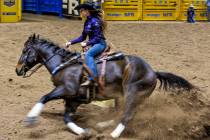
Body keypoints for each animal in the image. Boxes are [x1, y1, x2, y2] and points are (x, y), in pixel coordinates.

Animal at [15, 34, 194, 138]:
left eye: (25, 50)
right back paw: (102, 125)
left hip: (132, 93)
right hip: (120, 96)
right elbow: (66, 118)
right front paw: (84, 132)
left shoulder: (67, 89)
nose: (17, 70)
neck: (64, 64)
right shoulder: (73, 99)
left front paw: (31, 119)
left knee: (128, 114)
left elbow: (44, 97)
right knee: (120, 112)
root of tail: (153, 72)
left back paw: (113, 134)